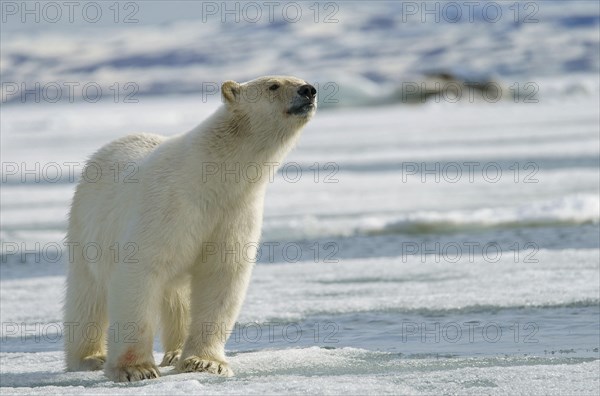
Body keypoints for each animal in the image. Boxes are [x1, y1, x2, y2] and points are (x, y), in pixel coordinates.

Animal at [64, 76, 318, 382]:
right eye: (274, 85)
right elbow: (140, 271)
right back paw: (89, 357)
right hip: (86, 226)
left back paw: (174, 353)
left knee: (178, 298)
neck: (211, 176)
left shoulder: (234, 213)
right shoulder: (168, 205)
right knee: (86, 294)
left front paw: (206, 363)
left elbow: (221, 278)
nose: (309, 90)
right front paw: (135, 369)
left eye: (300, 80)